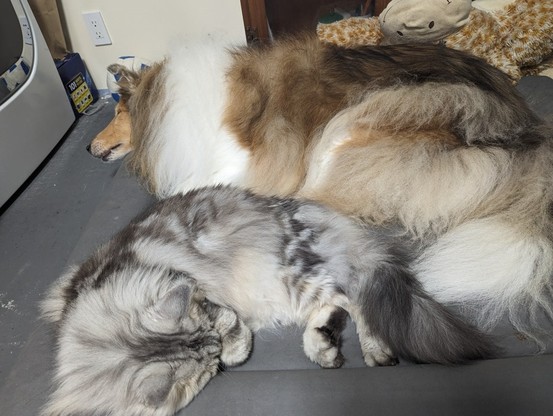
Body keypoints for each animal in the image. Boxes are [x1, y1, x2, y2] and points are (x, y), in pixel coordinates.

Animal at [41, 185, 497, 416]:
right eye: (204, 370)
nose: (216, 350)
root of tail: (323, 216)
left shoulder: (198, 289)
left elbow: (234, 329)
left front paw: (235, 343)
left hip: (292, 273)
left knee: (353, 296)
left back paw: (372, 351)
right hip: (291, 288)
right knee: (336, 304)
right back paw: (323, 346)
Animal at [88, 34, 553, 340]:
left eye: (117, 110)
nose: (90, 149)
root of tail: (526, 132)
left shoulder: (238, 163)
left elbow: (186, 189)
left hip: (368, 115)